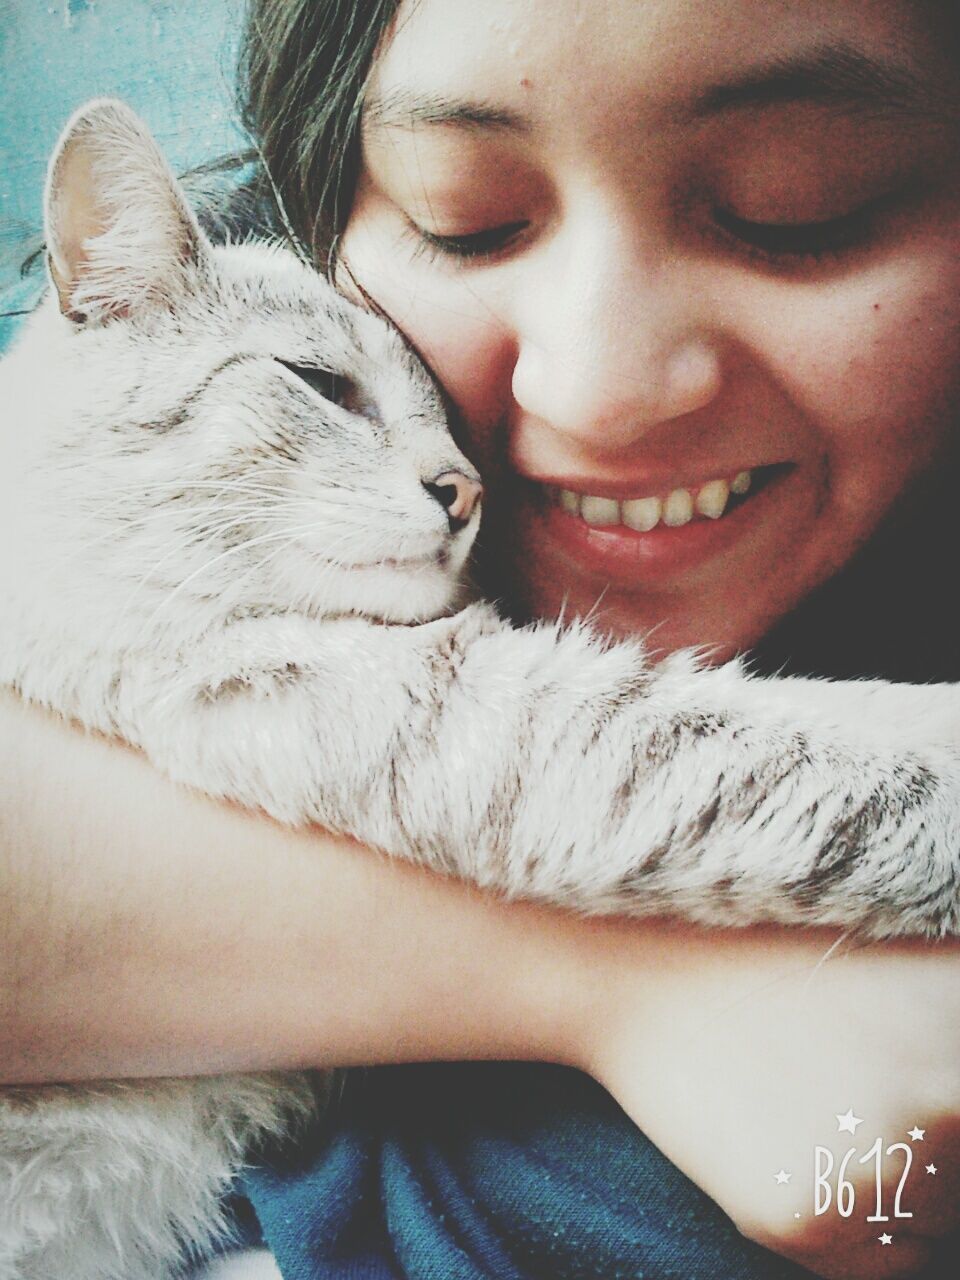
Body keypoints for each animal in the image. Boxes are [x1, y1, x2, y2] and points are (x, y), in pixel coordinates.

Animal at [1, 99, 960, 1280]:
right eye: (322, 386)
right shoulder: (465, 709)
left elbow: (820, 701)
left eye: (451, 422)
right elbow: (780, 747)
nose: (465, 490)